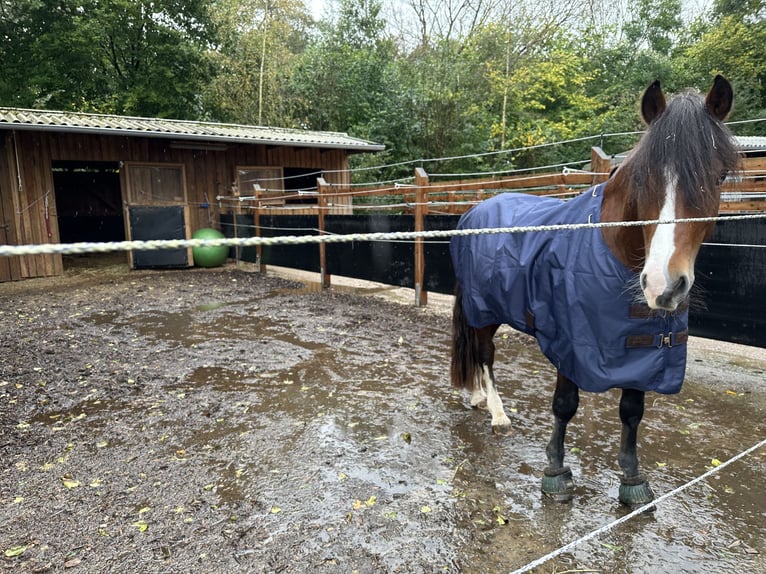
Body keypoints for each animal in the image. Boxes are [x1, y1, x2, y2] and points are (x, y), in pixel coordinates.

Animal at [452, 77, 740, 508]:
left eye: (719, 176)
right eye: (643, 178)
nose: (664, 285)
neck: (610, 249)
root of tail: (476, 211)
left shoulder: (642, 350)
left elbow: (632, 410)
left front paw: (632, 478)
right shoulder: (569, 342)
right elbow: (565, 405)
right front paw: (555, 472)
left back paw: (477, 397)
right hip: (483, 309)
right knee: (484, 353)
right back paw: (498, 413)